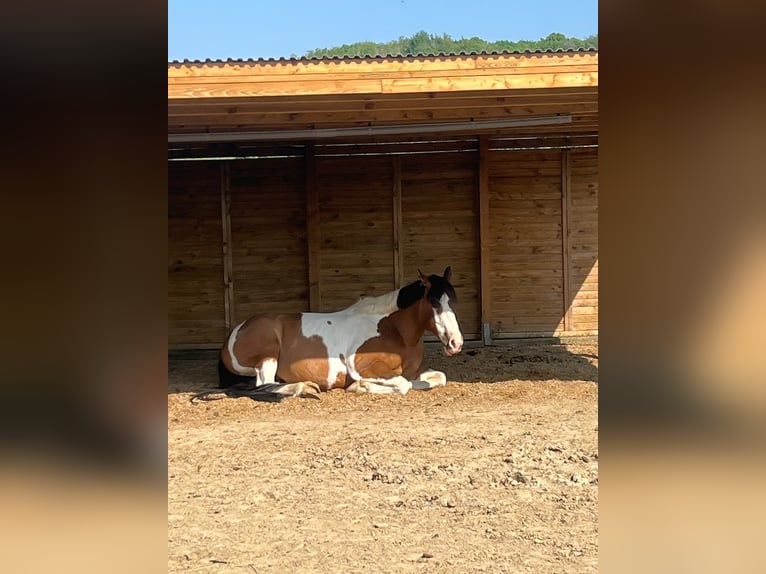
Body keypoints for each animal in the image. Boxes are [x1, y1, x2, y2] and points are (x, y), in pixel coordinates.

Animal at [195, 266, 464, 404]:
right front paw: (360, 387)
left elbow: (435, 378)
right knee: (264, 384)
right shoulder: (364, 366)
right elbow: (402, 384)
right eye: (434, 303)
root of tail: (235, 331)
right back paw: (304, 388)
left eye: (453, 300)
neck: (393, 329)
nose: (456, 343)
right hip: (267, 355)